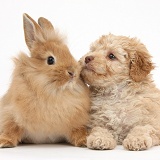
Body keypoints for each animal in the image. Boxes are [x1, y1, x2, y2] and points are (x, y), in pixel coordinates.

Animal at [0, 13, 90, 148]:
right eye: (50, 60)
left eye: (69, 53)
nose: (73, 73)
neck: (52, 92)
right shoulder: (11, 115)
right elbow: (11, 129)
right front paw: (4, 142)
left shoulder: (76, 123)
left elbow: (78, 131)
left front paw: (84, 140)